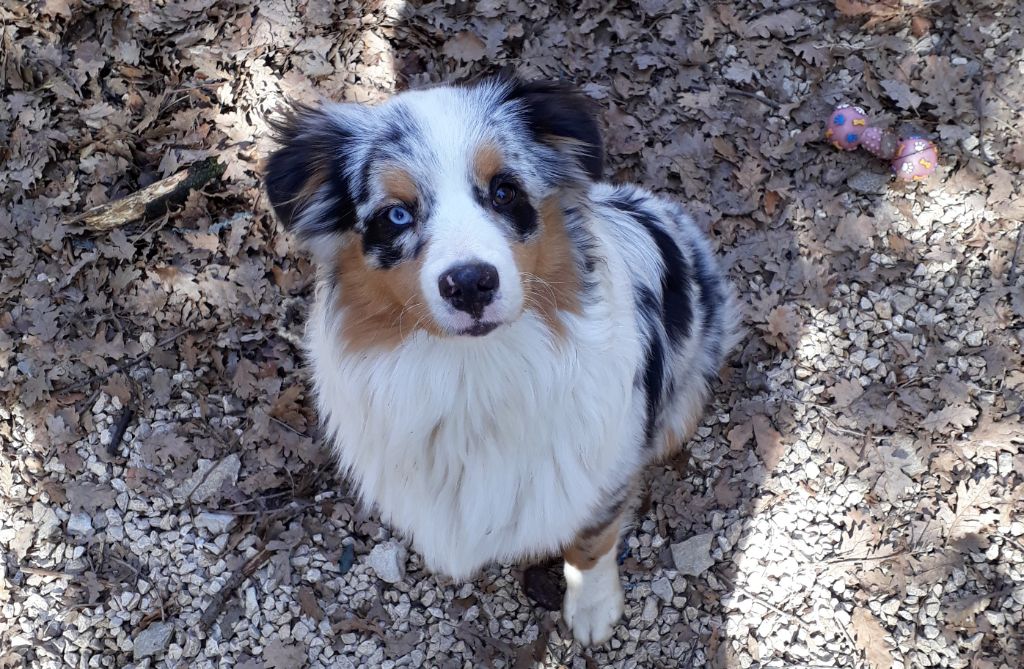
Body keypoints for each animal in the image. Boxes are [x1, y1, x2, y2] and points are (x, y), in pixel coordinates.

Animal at [263, 74, 740, 646]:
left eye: (504, 190)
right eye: (396, 214)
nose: (470, 283)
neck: (472, 374)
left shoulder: (606, 467)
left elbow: (592, 542)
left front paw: (592, 612)